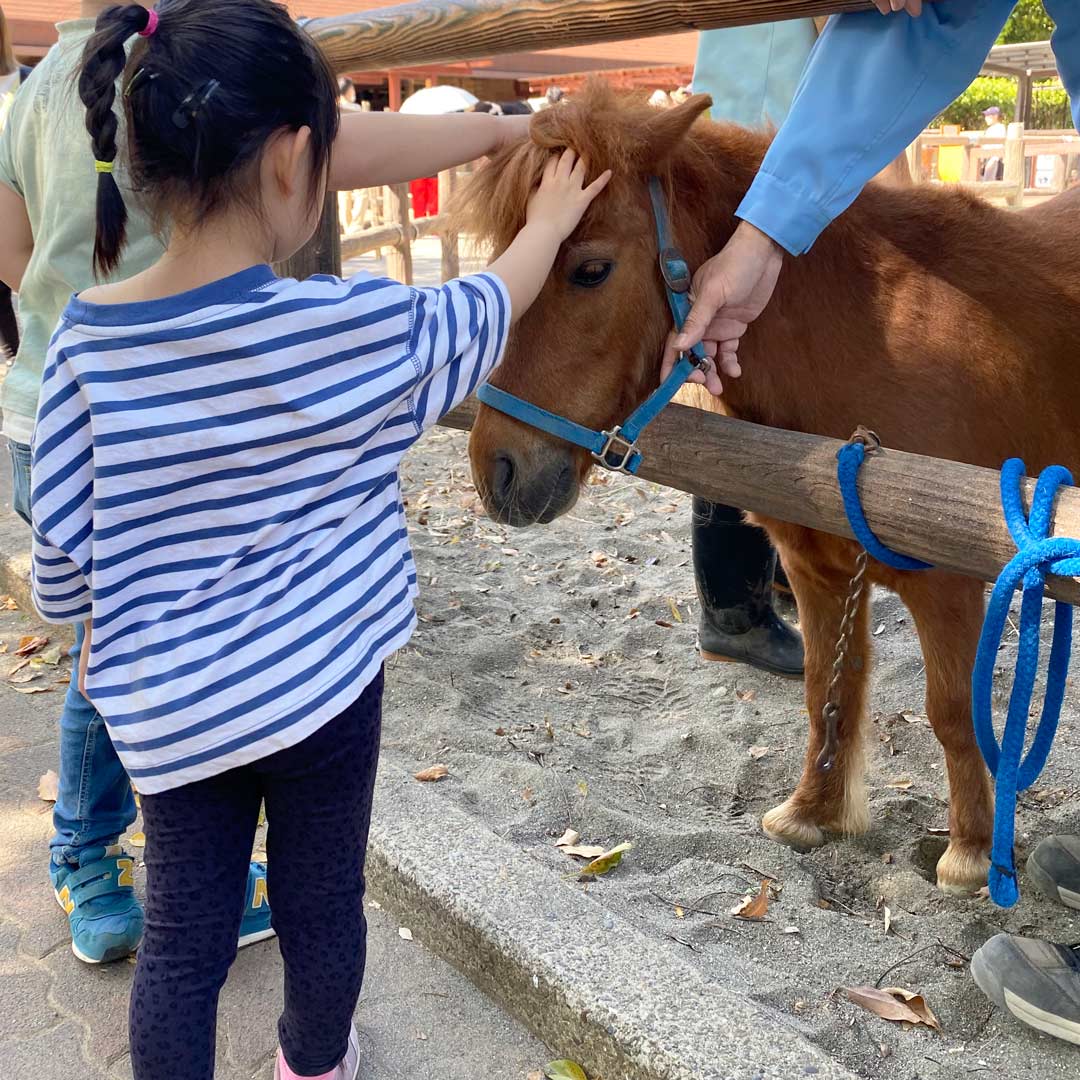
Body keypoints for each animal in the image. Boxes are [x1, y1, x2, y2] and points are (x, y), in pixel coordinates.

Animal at [466, 82, 1080, 894]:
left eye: (590, 270)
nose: (495, 471)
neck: (869, 342)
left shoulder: (947, 580)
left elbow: (950, 712)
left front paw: (972, 850)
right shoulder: (817, 570)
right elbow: (830, 689)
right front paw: (812, 811)